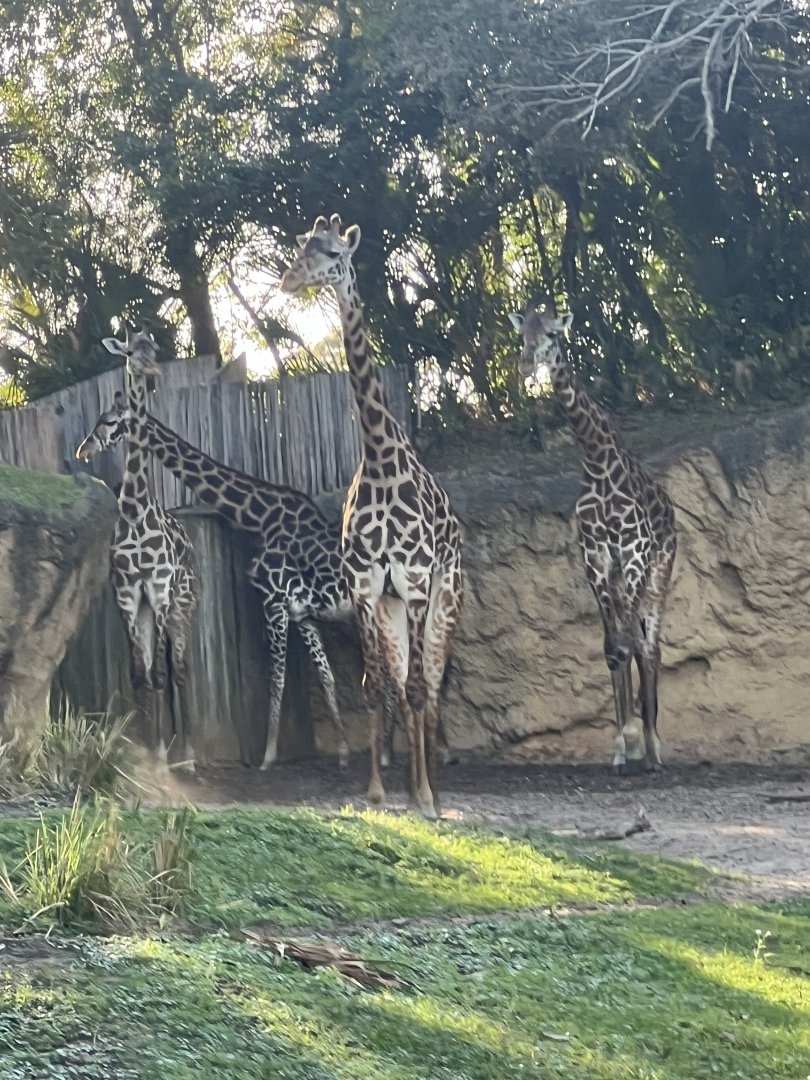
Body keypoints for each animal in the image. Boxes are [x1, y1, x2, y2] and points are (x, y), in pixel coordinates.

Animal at [77, 392, 408, 771]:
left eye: (109, 421)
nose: (83, 449)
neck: (259, 516)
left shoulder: (273, 602)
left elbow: (276, 677)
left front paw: (267, 756)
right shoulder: (302, 614)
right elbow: (326, 677)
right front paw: (340, 752)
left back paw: (390, 751)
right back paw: (393, 750)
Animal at [280, 213, 463, 818]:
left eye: (334, 253)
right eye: (301, 246)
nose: (290, 280)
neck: (381, 462)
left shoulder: (415, 582)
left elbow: (416, 688)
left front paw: (424, 796)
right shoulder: (366, 587)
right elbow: (376, 685)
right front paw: (380, 790)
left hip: (444, 599)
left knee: (432, 682)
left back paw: (434, 789)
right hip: (390, 607)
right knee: (402, 683)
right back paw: (412, 780)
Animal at [509, 303, 677, 773]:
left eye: (551, 333)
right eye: (522, 335)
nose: (526, 364)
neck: (598, 461)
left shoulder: (635, 552)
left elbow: (629, 643)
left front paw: (637, 738)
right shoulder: (597, 558)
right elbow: (610, 647)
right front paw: (621, 746)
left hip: (658, 573)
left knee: (649, 646)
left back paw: (656, 749)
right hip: (621, 577)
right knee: (630, 641)